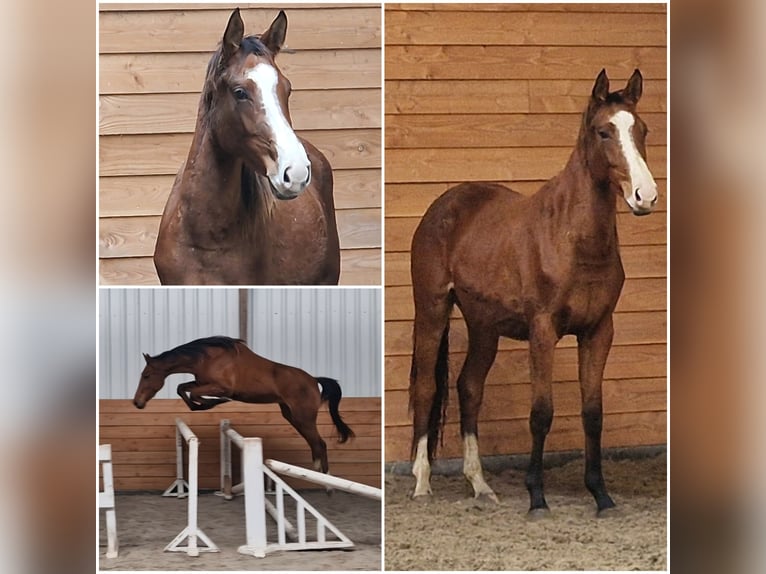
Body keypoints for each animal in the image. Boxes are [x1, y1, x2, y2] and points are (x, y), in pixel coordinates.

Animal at [132, 336, 354, 474]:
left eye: (147, 375)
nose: (137, 402)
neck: (206, 358)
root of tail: (314, 380)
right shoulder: (201, 382)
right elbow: (182, 388)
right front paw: (202, 405)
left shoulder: (221, 387)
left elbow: (194, 393)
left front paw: (210, 404)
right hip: (293, 416)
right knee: (315, 444)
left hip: (303, 417)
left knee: (320, 444)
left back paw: (326, 482)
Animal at [408, 69, 658, 516]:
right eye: (604, 132)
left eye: (641, 129)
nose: (645, 196)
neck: (573, 240)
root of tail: (445, 205)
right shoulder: (544, 331)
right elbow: (541, 412)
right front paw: (537, 497)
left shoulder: (598, 332)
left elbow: (593, 413)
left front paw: (601, 495)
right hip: (432, 310)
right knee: (426, 388)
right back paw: (422, 483)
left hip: (484, 327)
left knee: (469, 388)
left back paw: (480, 485)